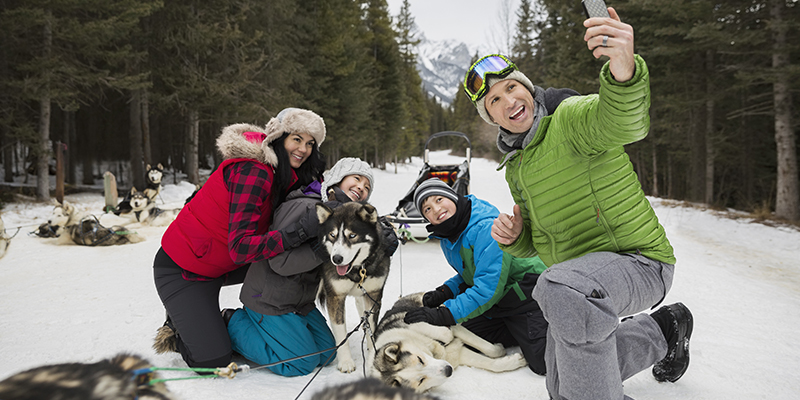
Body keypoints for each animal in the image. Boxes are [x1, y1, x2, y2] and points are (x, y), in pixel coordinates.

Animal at [316, 203, 390, 376]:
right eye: (332, 235)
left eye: (352, 235)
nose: (336, 259)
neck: (357, 270)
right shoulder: (335, 296)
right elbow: (341, 332)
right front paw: (345, 361)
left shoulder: (373, 295)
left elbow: (371, 329)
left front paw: (372, 354)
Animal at [372, 292, 528, 392]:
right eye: (421, 380)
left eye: (420, 359)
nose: (448, 370)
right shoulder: (456, 353)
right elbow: (492, 364)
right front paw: (514, 361)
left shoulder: (446, 329)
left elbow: (448, 334)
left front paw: (500, 350)